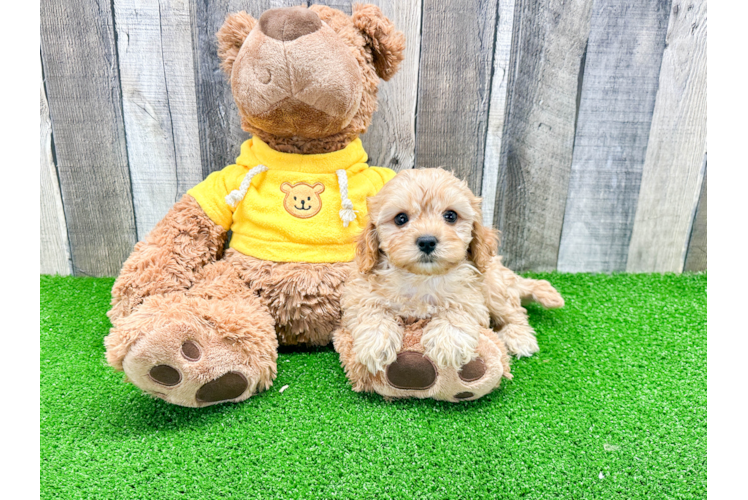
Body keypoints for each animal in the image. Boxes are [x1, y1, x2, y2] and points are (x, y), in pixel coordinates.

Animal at [338, 168, 560, 378]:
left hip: (494, 288)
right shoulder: (360, 293)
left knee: (514, 312)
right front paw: (375, 344)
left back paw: (519, 337)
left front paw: (448, 343)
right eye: (401, 218)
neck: (422, 278)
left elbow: (457, 310)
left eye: (450, 216)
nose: (427, 241)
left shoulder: (472, 296)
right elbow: (371, 310)